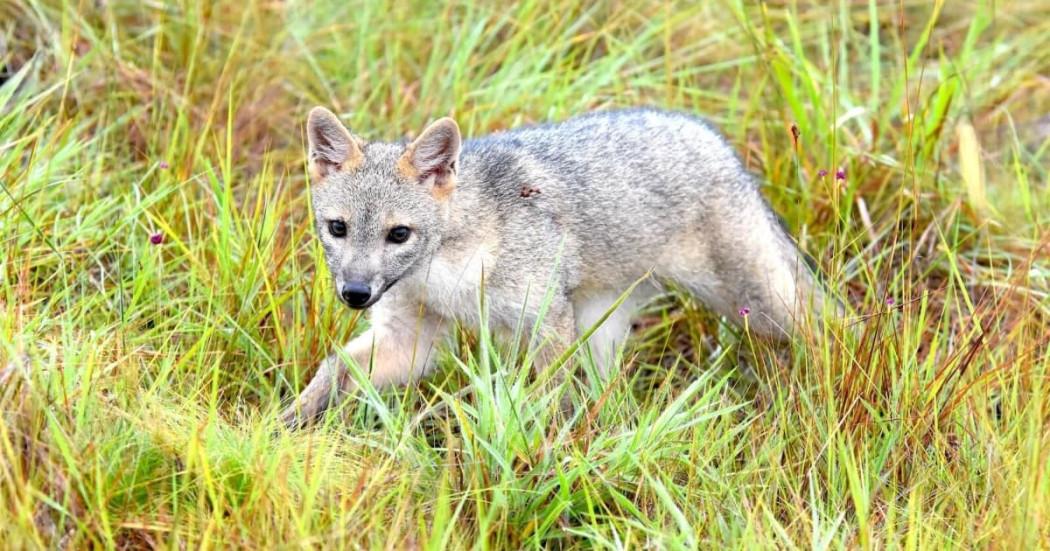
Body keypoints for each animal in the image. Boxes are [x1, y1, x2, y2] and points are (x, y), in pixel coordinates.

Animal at [281, 106, 833, 428]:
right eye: (337, 228)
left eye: (399, 235)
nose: (355, 294)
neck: (447, 267)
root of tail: (716, 141)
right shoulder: (410, 339)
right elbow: (333, 367)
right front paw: (285, 425)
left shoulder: (547, 325)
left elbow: (538, 401)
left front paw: (531, 454)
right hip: (600, 330)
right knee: (608, 397)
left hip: (762, 307)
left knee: (826, 332)